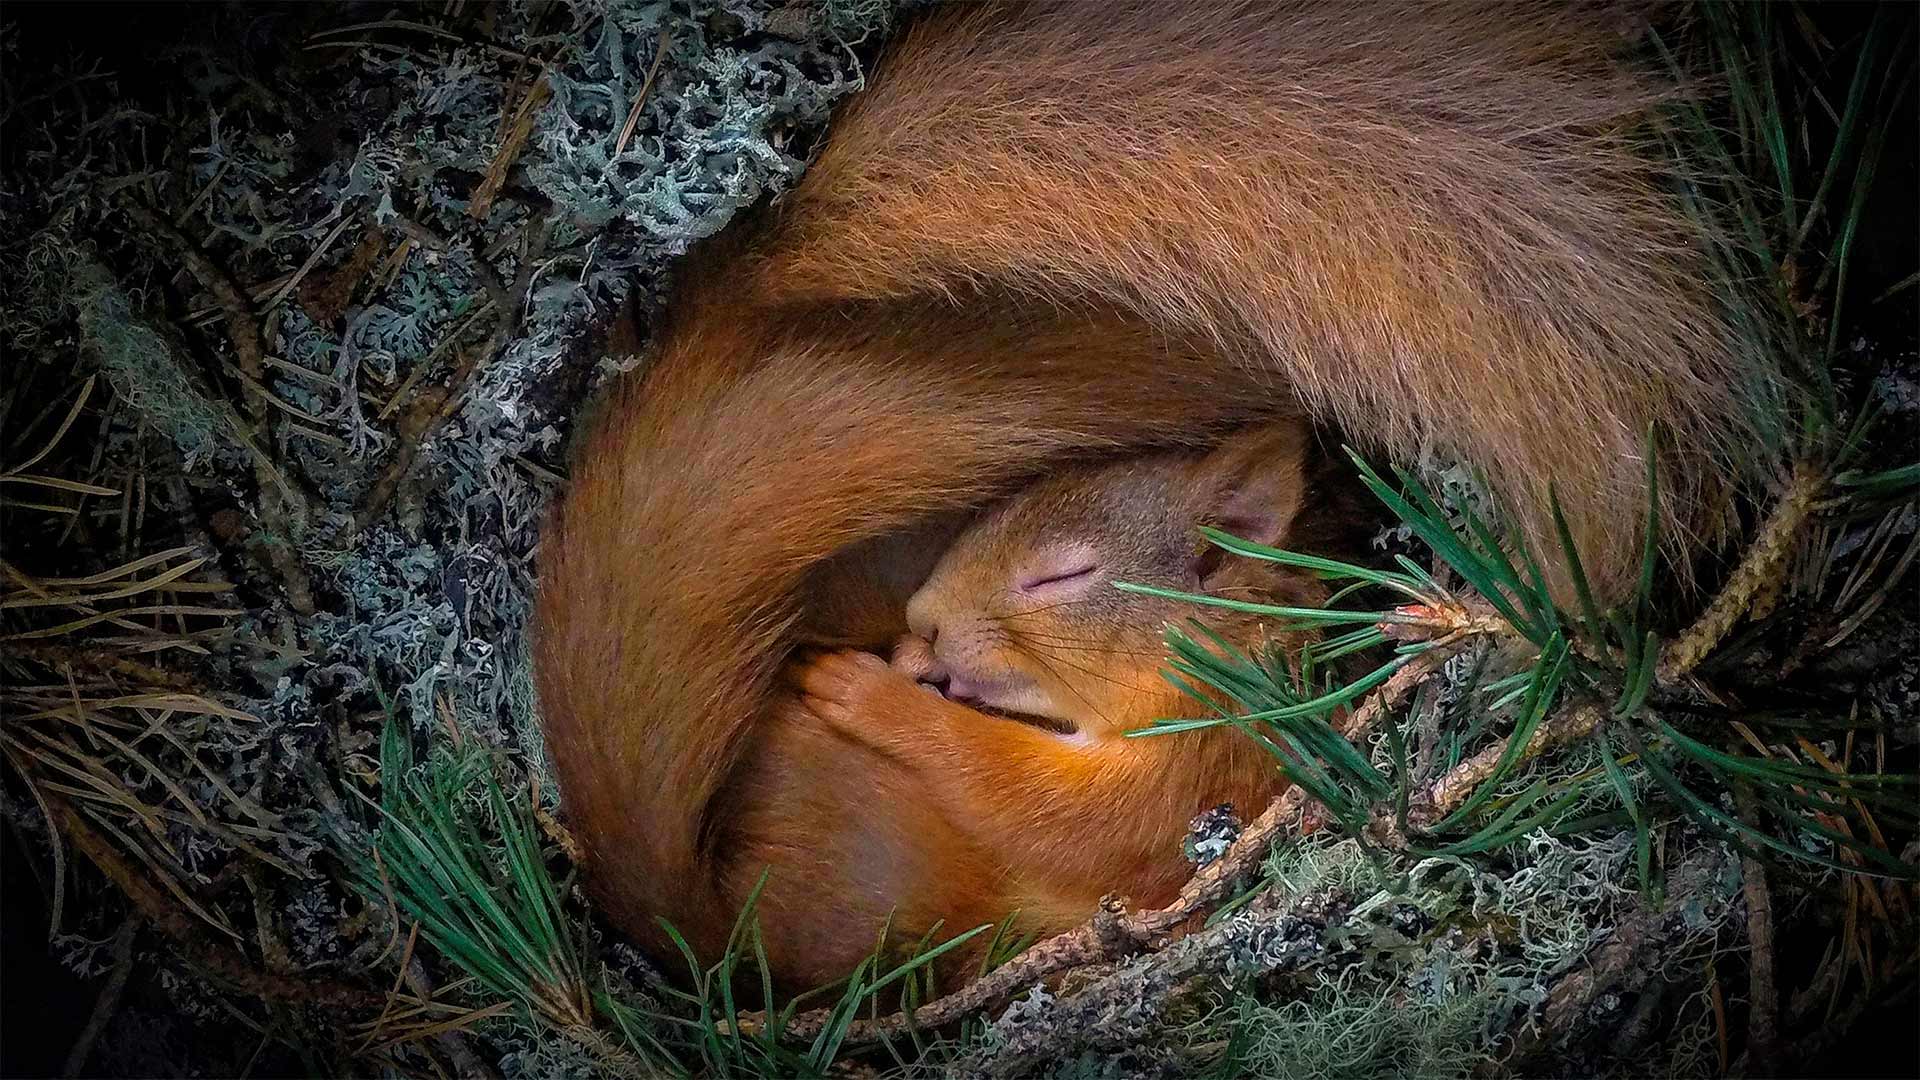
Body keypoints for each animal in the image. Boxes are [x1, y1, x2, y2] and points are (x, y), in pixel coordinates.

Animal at [533, 2, 1774, 991]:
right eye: (986, 518)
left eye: (1067, 574)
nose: (922, 624)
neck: (1226, 654)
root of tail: (700, 931)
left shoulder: (1202, 765)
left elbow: (1053, 811)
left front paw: (870, 692)